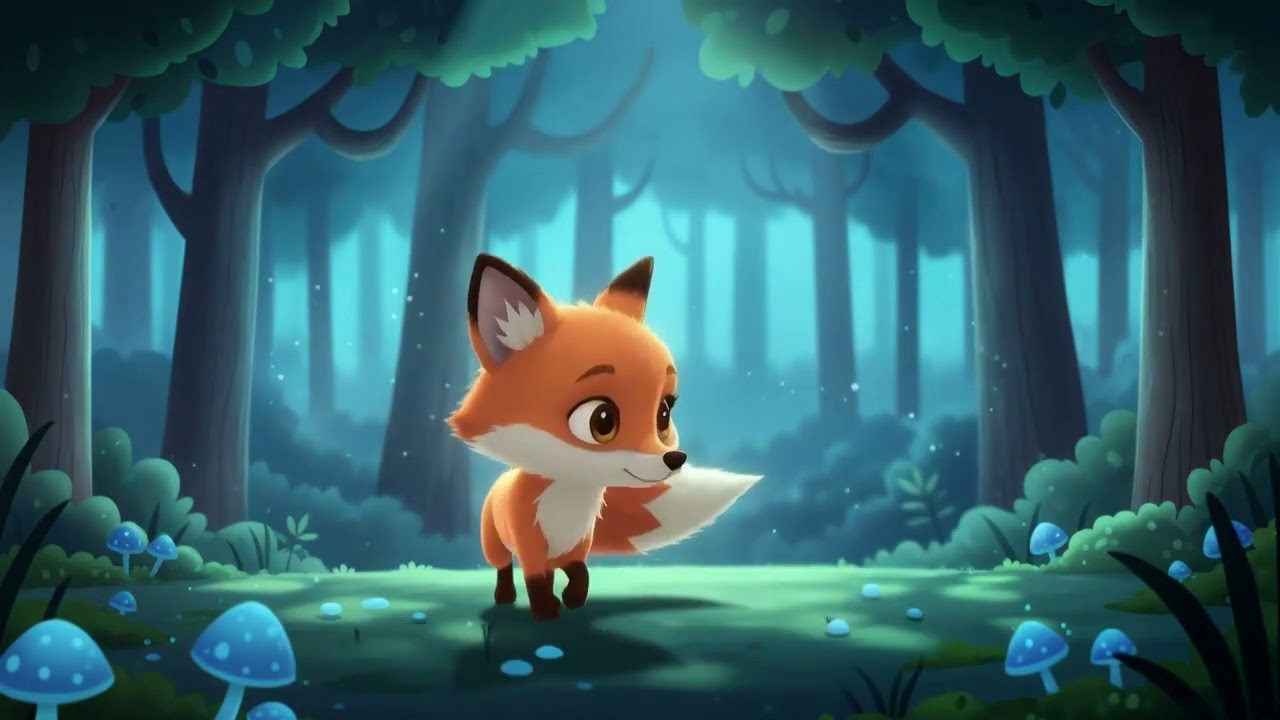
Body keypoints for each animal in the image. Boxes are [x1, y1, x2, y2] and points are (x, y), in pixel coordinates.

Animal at [447, 253, 762, 620]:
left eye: (663, 413)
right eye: (602, 420)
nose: (675, 459)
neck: (568, 497)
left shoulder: (578, 543)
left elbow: (580, 575)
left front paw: (572, 600)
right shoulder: (529, 544)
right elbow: (536, 579)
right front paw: (546, 610)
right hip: (492, 541)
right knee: (502, 567)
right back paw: (504, 596)